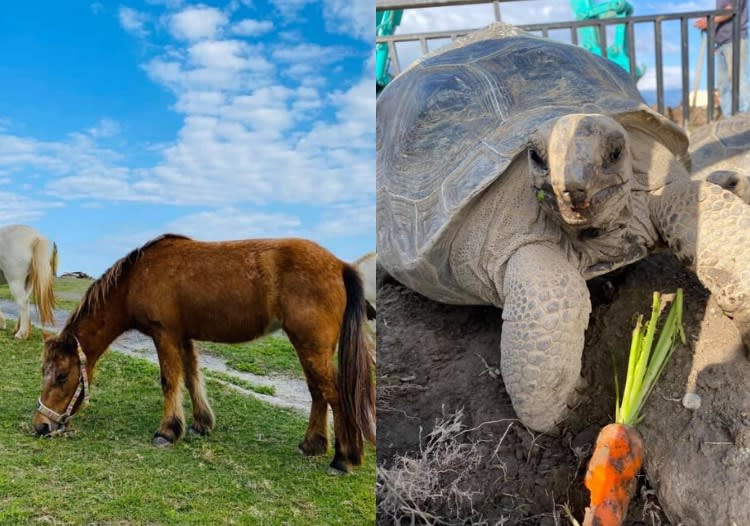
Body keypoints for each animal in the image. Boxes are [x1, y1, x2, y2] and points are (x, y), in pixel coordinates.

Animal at [33, 235, 376, 474]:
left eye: (62, 375)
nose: (41, 426)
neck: (136, 278)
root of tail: (339, 265)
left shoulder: (165, 335)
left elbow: (170, 381)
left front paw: (167, 432)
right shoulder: (183, 337)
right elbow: (191, 378)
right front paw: (200, 424)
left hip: (311, 346)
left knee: (334, 395)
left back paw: (343, 458)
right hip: (310, 348)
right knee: (318, 393)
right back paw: (312, 445)